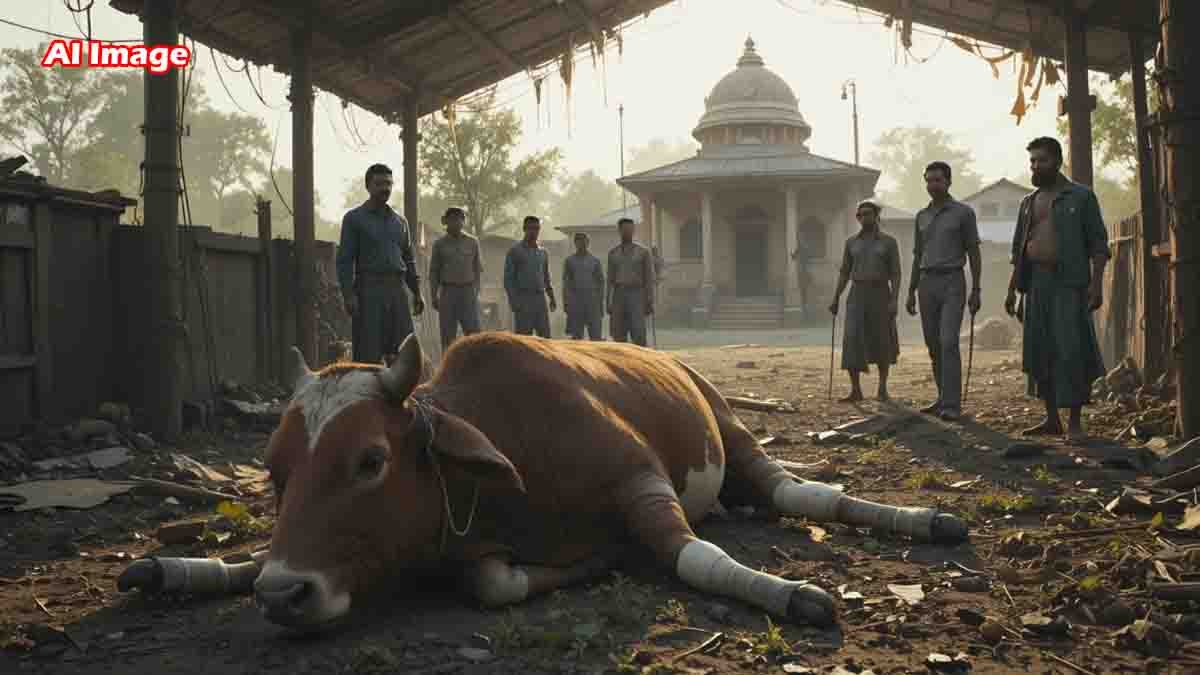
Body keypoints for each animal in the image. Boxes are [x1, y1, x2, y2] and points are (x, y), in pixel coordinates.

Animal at [118, 333, 967, 631]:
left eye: (369, 459)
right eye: (275, 469)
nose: (285, 596)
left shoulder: (642, 481)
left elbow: (697, 558)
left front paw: (792, 595)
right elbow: (493, 580)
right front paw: (185, 568)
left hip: (732, 432)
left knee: (796, 493)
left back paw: (925, 520)